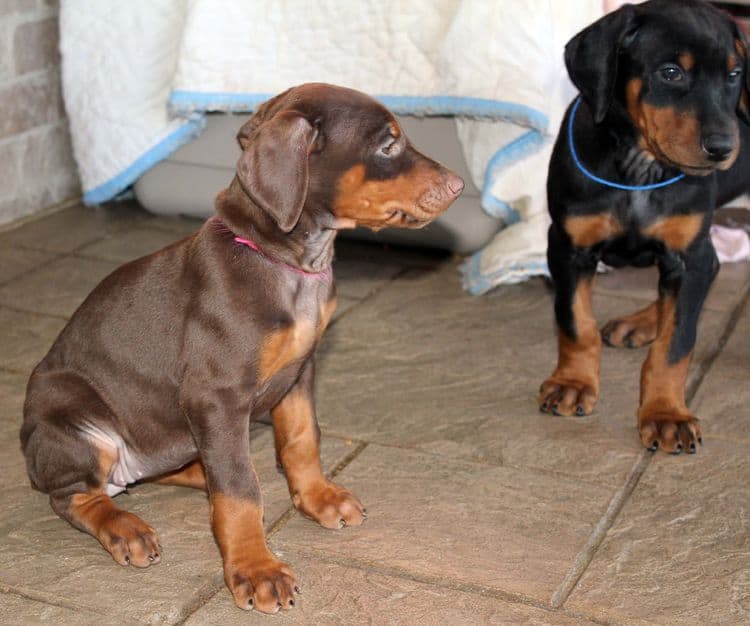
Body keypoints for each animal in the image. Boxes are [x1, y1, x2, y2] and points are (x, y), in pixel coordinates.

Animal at [20, 83, 464, 608]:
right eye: (388, 145)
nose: (459, 186)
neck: (287, 263)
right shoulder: (217, 396)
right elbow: (239, 492)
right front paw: (256, 568)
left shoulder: (301, 370)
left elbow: (301, 439)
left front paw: (318, 497)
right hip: (74, 423)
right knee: (77, 495)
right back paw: (125, 526)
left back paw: (197, 471)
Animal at [540, 0, 750, 450]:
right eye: (670, 72)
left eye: (734, 74)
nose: (723, 148)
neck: (641, 166)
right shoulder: (567, 246)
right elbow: (575, 321)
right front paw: (574, 383)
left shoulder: (689, 254)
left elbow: (676, 344)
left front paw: (666, 412)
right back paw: (640, 323)